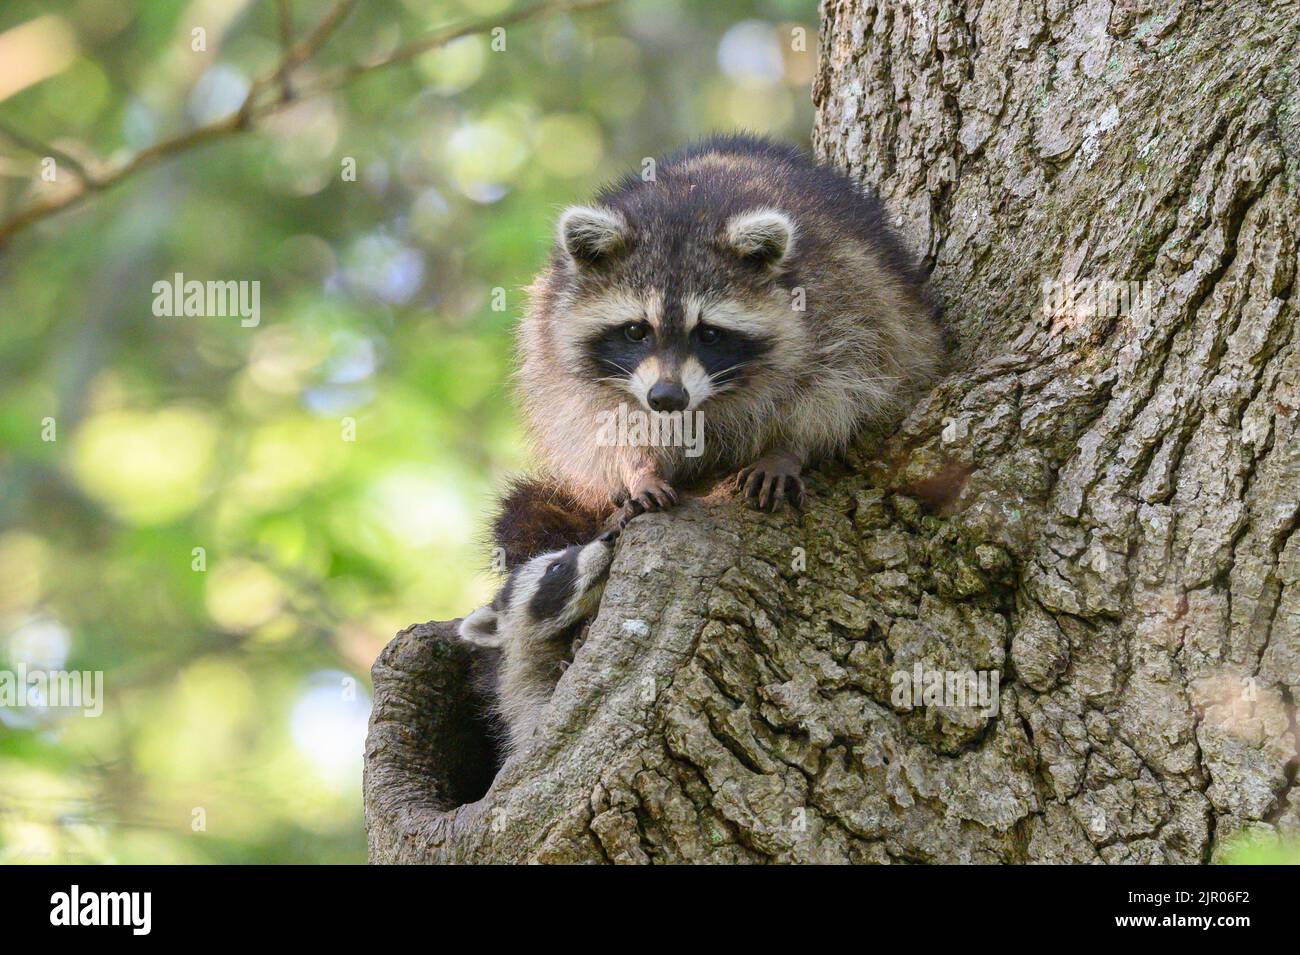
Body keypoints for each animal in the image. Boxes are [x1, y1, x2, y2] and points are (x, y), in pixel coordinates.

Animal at [515, 133, 944, 524]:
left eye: (708, 333)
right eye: (636, 331)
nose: (667, 398)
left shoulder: (844, 302)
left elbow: (840, 386)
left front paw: (786, 447)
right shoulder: (558, 353)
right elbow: (598, 420)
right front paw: (639, 468)